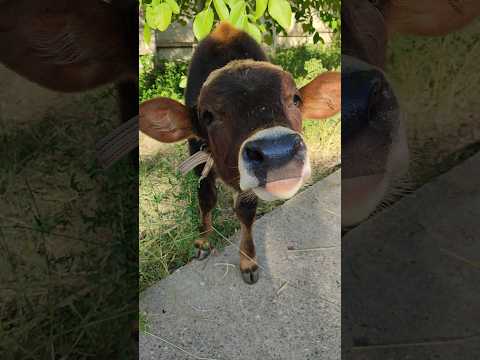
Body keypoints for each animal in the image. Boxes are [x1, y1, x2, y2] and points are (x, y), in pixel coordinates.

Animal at [140, 21, 342, 284]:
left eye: (295, 99)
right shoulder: (200, 164)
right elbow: (206, 199)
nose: (278, 153)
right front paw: (203, 241)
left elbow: (245, 212)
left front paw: (248, 261)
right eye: (207, 115)